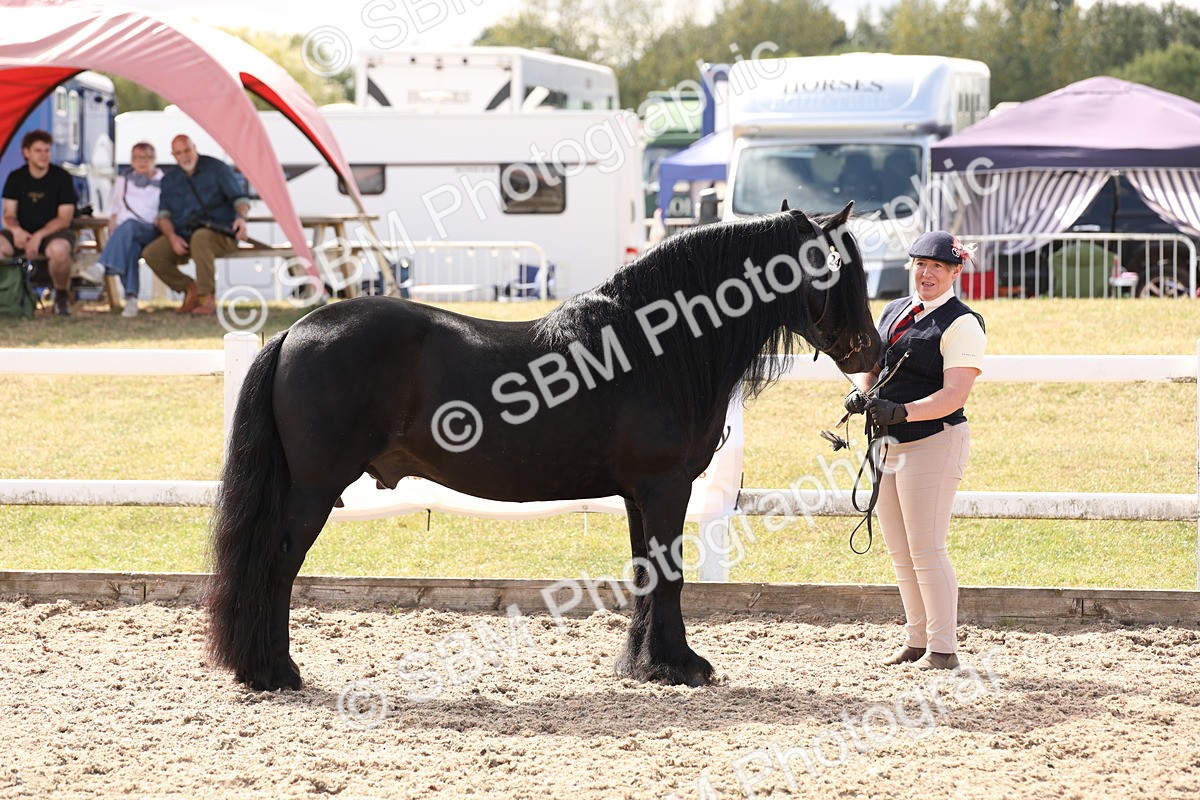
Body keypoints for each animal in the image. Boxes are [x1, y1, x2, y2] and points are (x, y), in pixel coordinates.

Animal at [206, 201, 882, 691]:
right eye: (835, 270)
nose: (872, 354)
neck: (654, 348)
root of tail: (296, 330)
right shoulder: (666, 488)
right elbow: (669, 575)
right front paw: (681, 667)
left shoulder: (638, 495)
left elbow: (644, 571)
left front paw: (643, 664)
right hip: (313, 491)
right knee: (276, 566)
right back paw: (275, 672)